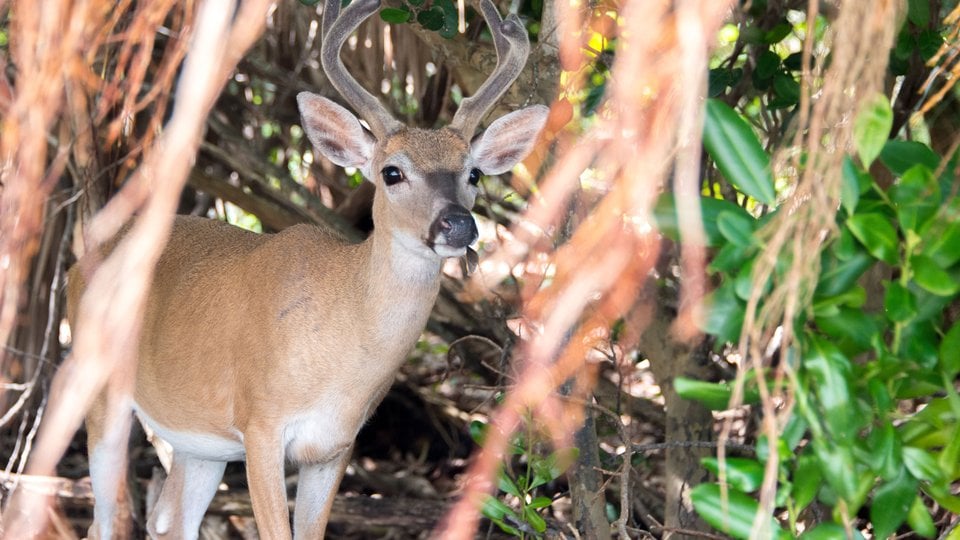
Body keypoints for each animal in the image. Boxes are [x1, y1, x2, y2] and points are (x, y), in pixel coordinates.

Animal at [67, 0, 547, 537]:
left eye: (474, 174)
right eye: (392, 172)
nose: (458, 223)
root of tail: (77, 262)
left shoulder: (336, 446)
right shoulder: (261, 424)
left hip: (200, 440)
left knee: (170, 518)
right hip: (99, 386)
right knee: (105, 518)